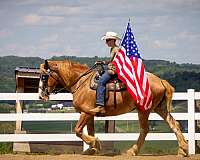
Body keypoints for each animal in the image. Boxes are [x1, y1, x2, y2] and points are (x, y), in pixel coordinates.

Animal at [38, 59, 188, 156]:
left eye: (44, 76)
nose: (41, 95)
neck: (81, 82)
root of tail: (160, 80)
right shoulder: (89, 114)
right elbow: (90, 131)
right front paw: (92, 149)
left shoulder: (86, 113)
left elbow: (78, 131)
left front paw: (96, 144)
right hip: (159, 108)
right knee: (174, 124)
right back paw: (183, 150)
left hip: (144, 110)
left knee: (145, 130)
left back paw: (132, 151)